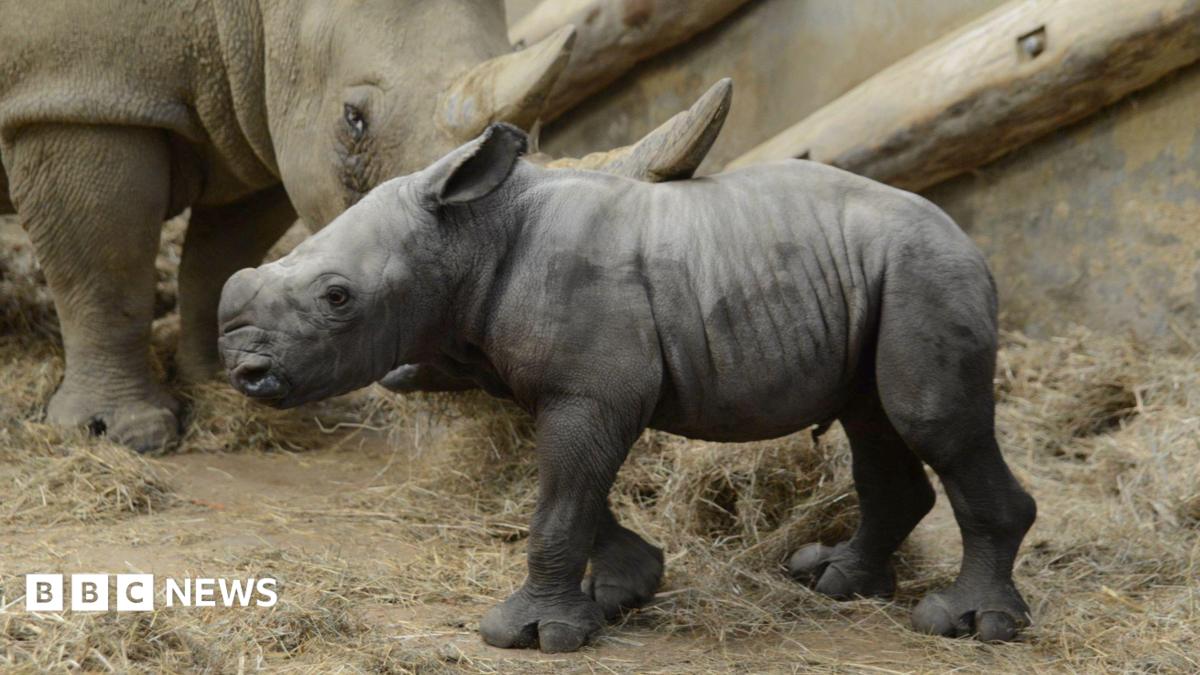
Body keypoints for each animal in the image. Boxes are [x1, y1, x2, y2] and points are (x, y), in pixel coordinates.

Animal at [0, 0, 731, 452]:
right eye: (354, 120)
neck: (248, 15)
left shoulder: (255, 115)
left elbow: (218, 258)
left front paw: (218, 381)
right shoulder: (77, 95)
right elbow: (105, 267)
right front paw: (119, 434)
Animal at [217, 124, 1038, 652]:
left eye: (337, 298)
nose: (245, 373)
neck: (469, 232)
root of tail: (972, 241)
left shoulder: (590, 389)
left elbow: (560, 500)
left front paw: (531, 636)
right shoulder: (567, 388)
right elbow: (569, 491)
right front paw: (622, 591)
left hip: (927, 270)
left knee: (930, 421)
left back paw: (966, 626)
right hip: (883, 274)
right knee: (872, 420)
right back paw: (832, 581)